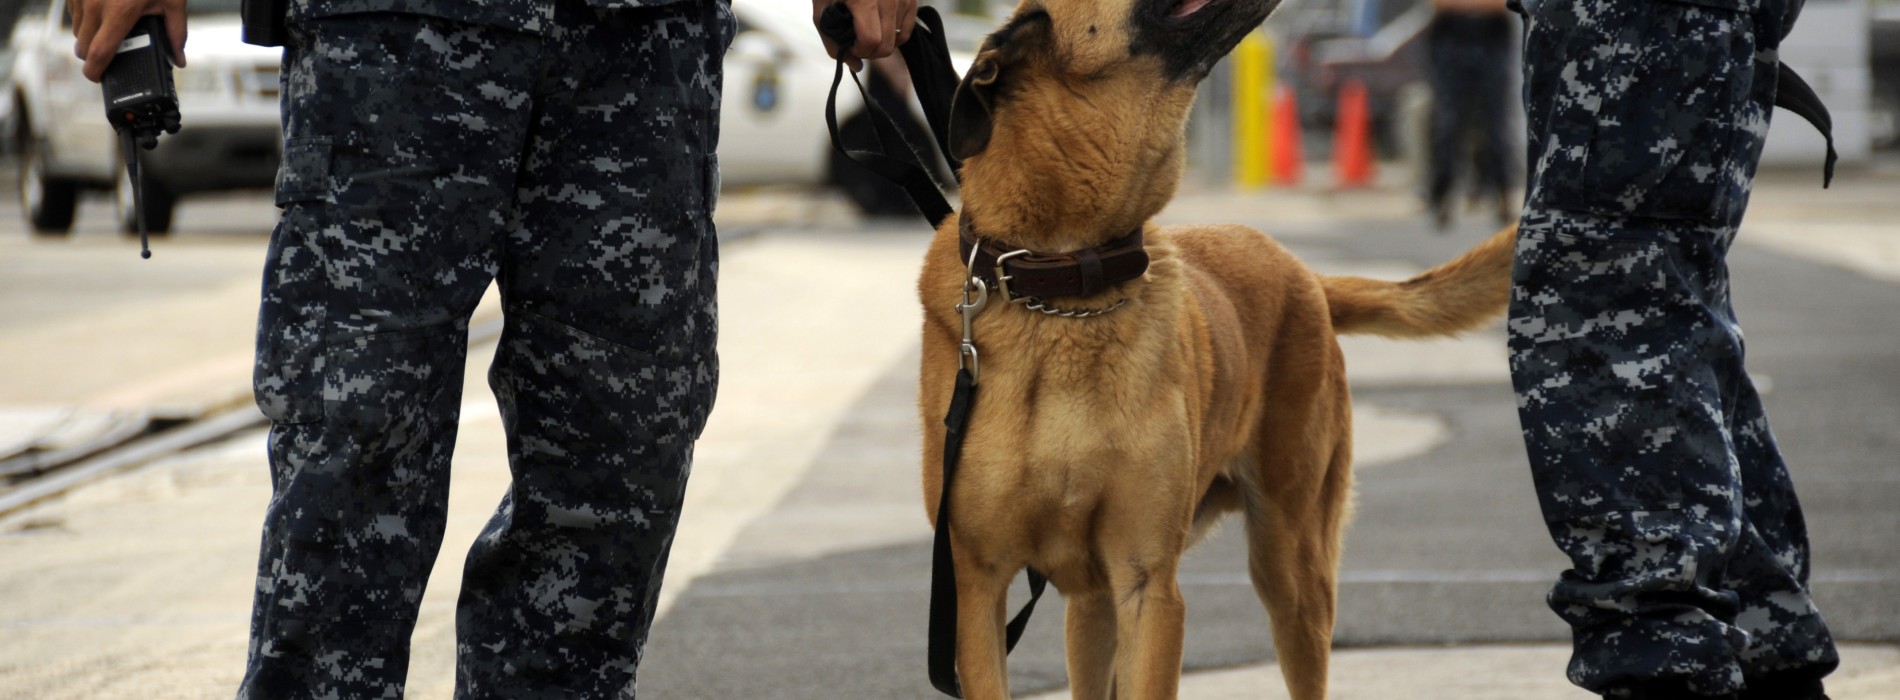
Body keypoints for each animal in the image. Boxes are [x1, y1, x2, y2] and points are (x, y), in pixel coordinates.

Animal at [912, 1, 1520, 700]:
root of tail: (1307, 276)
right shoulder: (977, 591)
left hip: (1293, 572)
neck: (1062, 283)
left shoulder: (1148, 587)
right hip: (1093, 608)